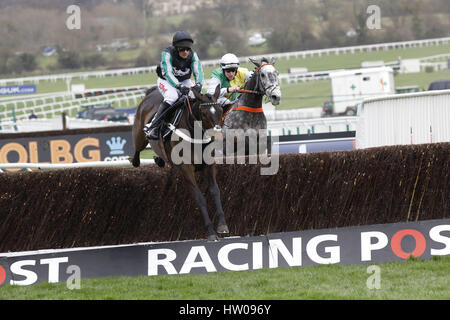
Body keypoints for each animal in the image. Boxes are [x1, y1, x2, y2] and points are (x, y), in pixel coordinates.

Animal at [131, 85, 229, 240]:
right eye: (204, 113)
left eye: (220, 110)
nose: (218, 136)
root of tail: (151, 92)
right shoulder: (186, 169)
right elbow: (199, 198)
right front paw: (211, 232)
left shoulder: (209, 165)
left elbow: (215, 191)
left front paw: (222, 225)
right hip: (140, 136)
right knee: (136, 152)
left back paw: (160, 160)